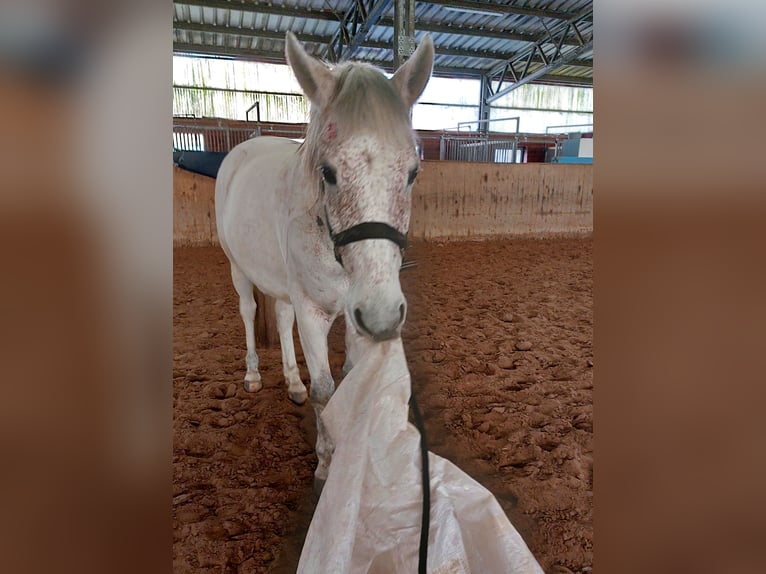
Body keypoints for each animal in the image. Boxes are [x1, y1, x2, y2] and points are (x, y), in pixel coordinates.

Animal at [213, 31, 436, 488]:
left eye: (413, 172)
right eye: (328, 172)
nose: (385, 317)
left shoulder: (355, 313)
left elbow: (349, 380)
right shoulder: (314, 311)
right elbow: (324, 390)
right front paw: (327, 465)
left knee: (281, 318)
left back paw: (291, 381)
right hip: (239, 270)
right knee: (248, 312)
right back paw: (253, 375)